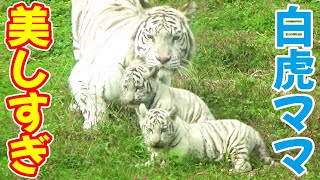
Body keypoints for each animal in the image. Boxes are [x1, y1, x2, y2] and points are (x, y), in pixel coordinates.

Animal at [69, 0, 196, 129]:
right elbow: (93, 106)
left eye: (176, 37)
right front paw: (93, 127)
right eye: (150, 36)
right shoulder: (81, 75)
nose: (163, 59)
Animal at [136, 105, 274, 172]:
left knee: (245, 166)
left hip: (237, 146)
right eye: (149, 129)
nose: (155, 142)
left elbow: (166, 164)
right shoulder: (155, 155)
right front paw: (139, 165)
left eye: (163, 130)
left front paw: (157, 169)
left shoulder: (179, 157)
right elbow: (150, 162)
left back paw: (230, 171)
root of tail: (253, 130)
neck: (162, 149)